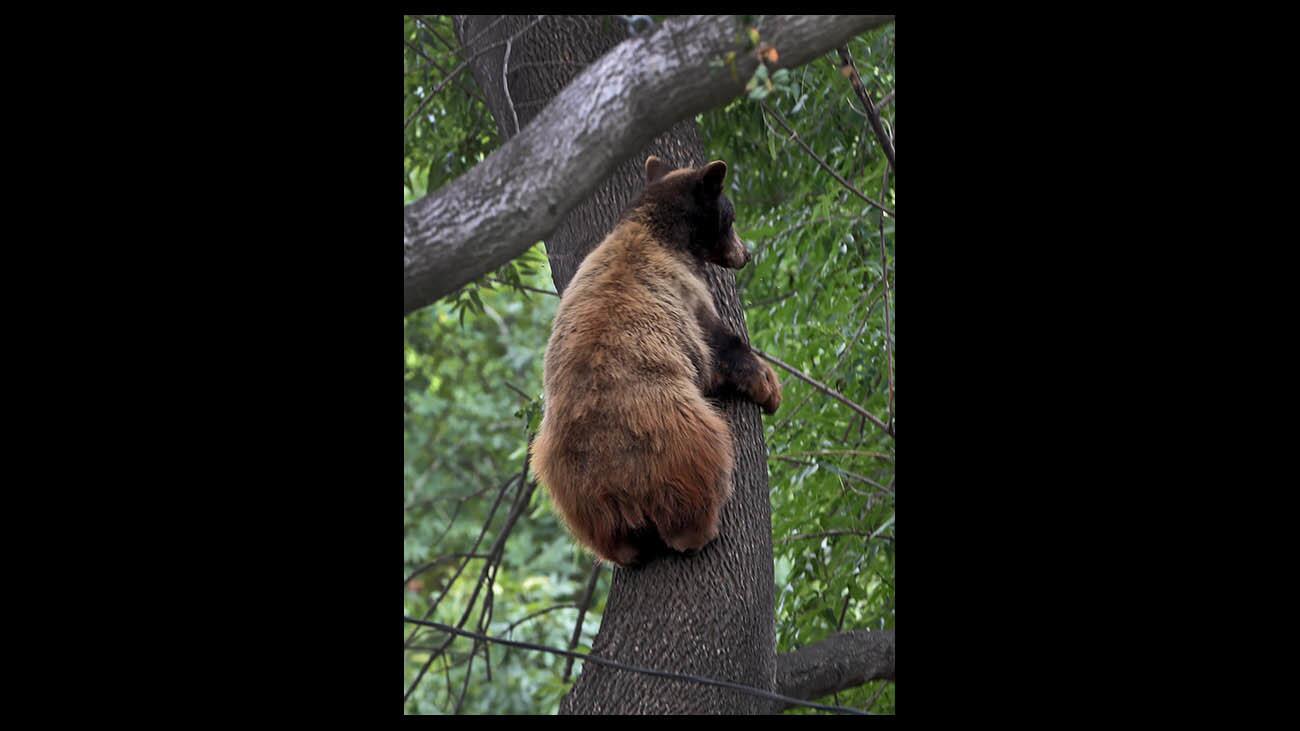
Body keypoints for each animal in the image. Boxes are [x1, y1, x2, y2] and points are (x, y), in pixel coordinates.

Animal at [527, 152, 780, 564]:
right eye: (731, 218)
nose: (746, 254)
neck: (659, 231)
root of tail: (614, 481)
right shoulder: (685, 293)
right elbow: (720, 346)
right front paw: (768, 387)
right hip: (679, 439)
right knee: (706, 463)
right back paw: (696, 529)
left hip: (567, 483)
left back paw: (624, 549)